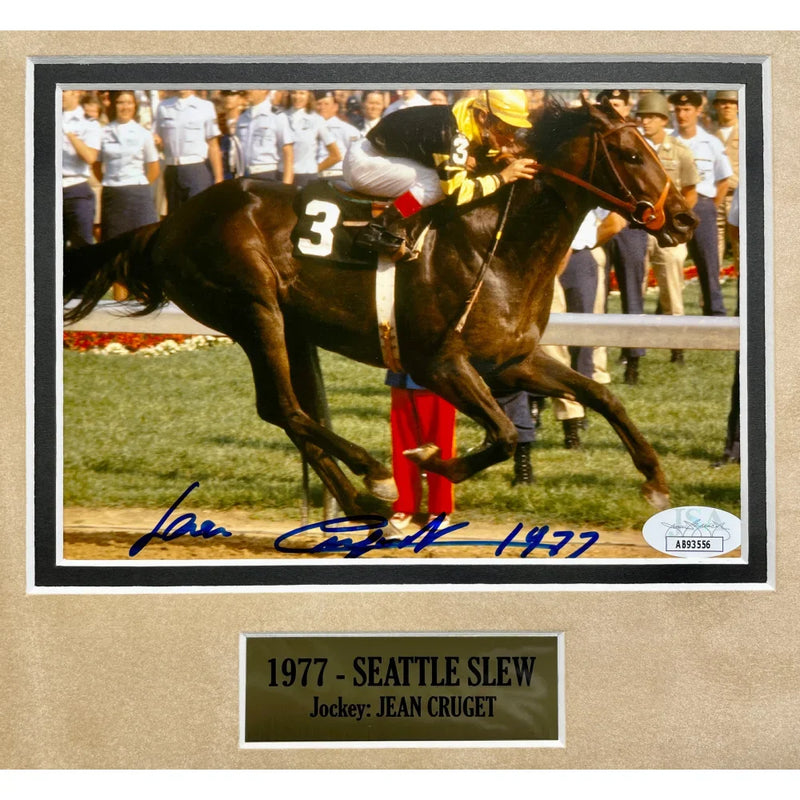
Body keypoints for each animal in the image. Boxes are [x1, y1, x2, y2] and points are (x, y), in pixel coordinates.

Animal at [64, 98, 697, 517]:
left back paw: (360, 504)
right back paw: (376, 479)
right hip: (252, 310)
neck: (494, 241)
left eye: (650, 145)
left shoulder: (511, 359)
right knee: (285, 406)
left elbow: (600, 396)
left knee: (288, 411)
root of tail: (168, 223)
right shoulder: (438, 363)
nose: (686, 219)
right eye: (628, 153)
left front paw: (655, 480)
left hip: (289, 323)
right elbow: (500, 434)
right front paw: (428, 461)